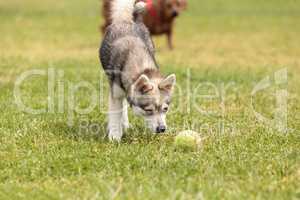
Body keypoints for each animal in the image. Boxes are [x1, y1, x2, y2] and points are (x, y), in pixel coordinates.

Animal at [99, 0, 177, 141]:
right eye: (149, 110)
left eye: (165, 109)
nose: (162, 129)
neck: (141, 68)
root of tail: (126, 20)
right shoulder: (116, 93)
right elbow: (116, 114)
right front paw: (115, 137)